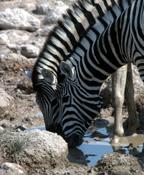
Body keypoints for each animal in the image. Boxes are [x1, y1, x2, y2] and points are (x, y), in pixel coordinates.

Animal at [31, 0, 133, 133]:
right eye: (38, 103)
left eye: (54, 102)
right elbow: (129, 90)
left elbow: (118, 95)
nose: (52, 131)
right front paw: (133, 125)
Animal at [56, 0, 144, 148]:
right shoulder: (127, 57)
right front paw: (131, 129)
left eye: (65, 99)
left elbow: (117, 96)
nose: (68, 142)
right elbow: (128, 90)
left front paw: (116, 137)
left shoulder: (136, 56)